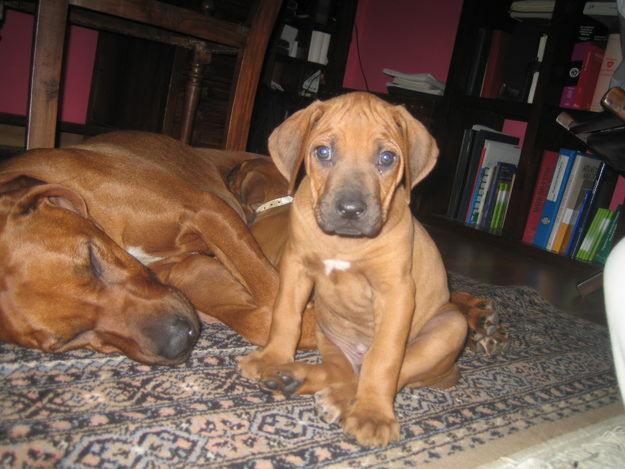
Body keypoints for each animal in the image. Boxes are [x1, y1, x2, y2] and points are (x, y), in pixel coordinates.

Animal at [239, 92, 468, 446]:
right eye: (323, 152)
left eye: (387, 158)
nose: (349, 209)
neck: (344, 244)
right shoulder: (296, 268)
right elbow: (284, 317)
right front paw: (272, 358)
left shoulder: (396, 292)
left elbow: (384, 359)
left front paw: (373, 414)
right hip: (327, 329)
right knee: (342, 371)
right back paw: (290, 376)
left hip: (451, 326)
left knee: (384, 371)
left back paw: (339, 400)